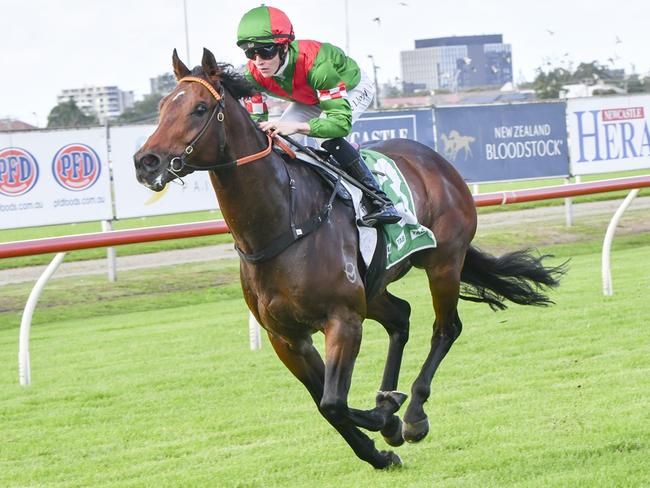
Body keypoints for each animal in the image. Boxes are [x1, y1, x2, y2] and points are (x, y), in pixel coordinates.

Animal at [134, 48, 564, 468]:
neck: (282, 222)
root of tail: (436, 161)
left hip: (443, 263)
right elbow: (325, 404)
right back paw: (392, 403)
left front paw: (387, 417)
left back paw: (413, 414)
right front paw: (380, 447)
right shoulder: (287, 338)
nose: (145, 161)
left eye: (200, 108)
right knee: (401, 317)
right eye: (162, 107)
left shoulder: (342, 319)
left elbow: (333, 402)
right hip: (373, 288)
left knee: (446, 328)